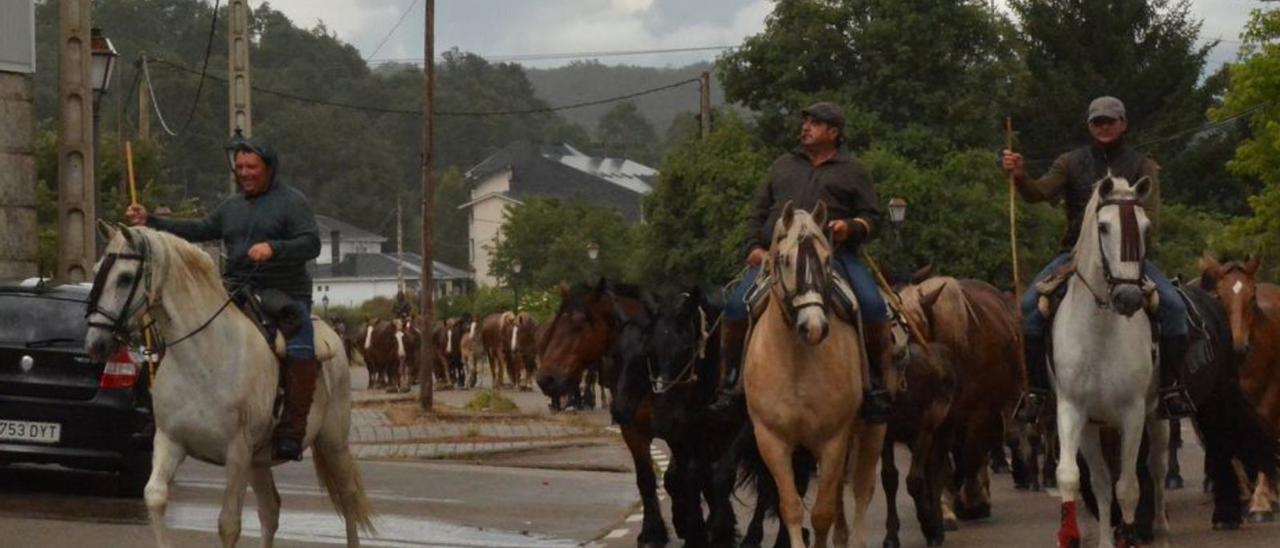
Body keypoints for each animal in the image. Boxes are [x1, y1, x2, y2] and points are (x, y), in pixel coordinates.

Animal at [84, 226, 373, 548]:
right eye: (97, 270)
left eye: (124, 277)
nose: (95, 344)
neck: (203, 358)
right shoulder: (170, 441)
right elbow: (155, 496)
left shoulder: (238, 453)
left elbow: (229, 524)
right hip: (261, 460)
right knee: (270, 510)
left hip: (332, 442)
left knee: (348, 499)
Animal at [747, 202, 885, 548]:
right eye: (784, 259)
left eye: (826, 260)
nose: (814, 327)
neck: (797, 361)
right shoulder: (772, 439)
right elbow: (791, 506)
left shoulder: (833, 438)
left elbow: (822, 513)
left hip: (872, 430)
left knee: (862, 488)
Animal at [1049, 176, 1172, 548]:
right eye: (1103, 227)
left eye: (1145, 228)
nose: (1129, 297)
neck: (1099, 333)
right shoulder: (1073, 410)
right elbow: (1073, 477)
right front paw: (1071, 535)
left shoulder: (1133, 413)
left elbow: (1128, 487)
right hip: (1095, 427)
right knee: (1103, 482)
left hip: (1157, 417)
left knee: (1156, 470)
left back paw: (1161, 530)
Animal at [1192, 257, 1280, 522]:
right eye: (1219, 297)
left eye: (1252, 296)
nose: (1238, 346)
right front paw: (1240, 497)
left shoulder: (1270, 396)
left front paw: (1261, 501)